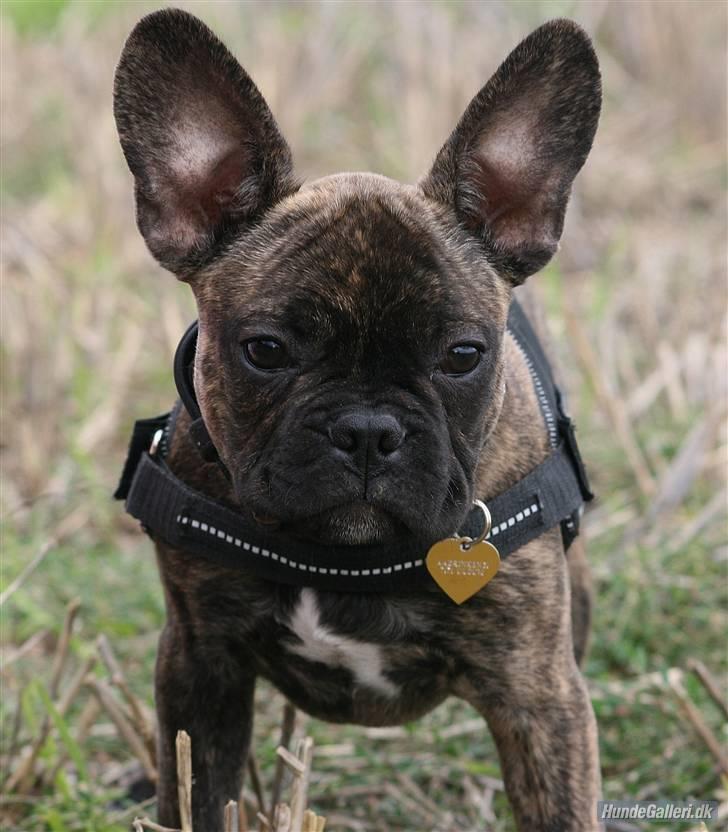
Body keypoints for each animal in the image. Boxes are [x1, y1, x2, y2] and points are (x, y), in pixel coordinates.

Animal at [115, 8, 604, 832]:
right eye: (266, 350)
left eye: (463, 355)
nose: (369, 430)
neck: (343, 556)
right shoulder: (199, 664)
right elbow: (198, 793)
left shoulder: (540, 696)